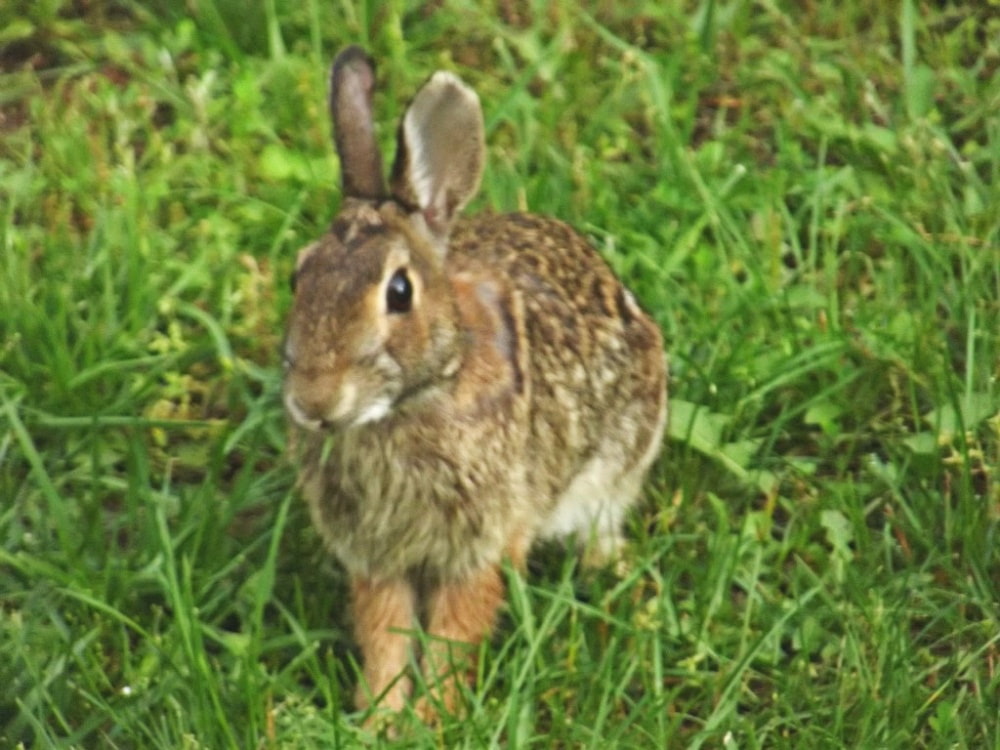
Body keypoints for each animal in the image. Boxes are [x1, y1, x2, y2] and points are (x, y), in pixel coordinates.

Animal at [283, 45, 667, 721]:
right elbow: (386, 633)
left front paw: (432, 721)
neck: (415, 399)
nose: (314, 401)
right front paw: (379, 720)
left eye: (399, 292)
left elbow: (453, 634)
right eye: (296, 278)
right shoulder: (377, 555)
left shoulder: (482, 541)